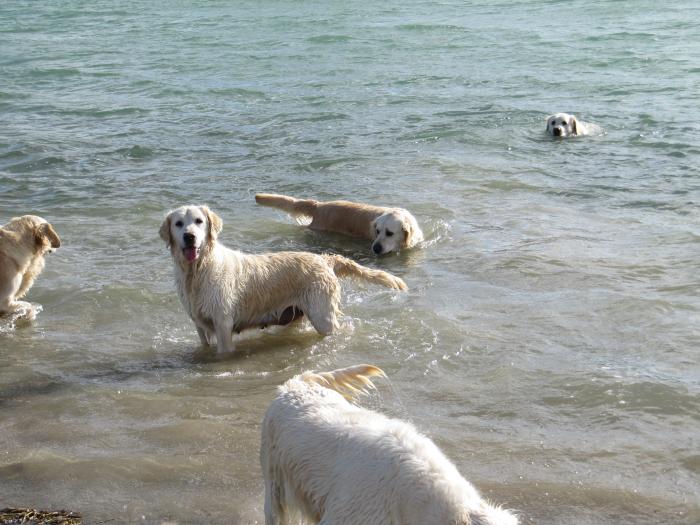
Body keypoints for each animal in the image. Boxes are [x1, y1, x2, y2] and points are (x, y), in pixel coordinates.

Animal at [159, 205, 408, 352]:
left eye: (199, 221)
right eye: (178, 223)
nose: (189, 237)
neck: (196, 272)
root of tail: (325, 259)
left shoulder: (223, 323)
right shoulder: (200, 326)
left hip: (322, 315)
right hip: (296, 313)